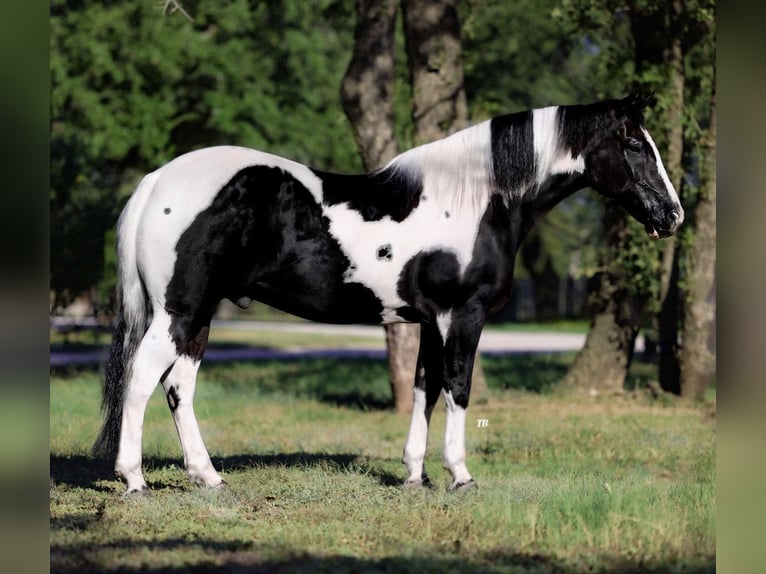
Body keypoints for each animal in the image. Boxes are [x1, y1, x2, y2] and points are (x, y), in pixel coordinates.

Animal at [93, 93, 688, 496]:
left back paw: (208, 477)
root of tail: (157, 180)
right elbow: (458, 388)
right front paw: (460, 475)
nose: (674, 215)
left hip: (197, 317)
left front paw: (414, 475)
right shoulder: (461, 316)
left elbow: (425, 389)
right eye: (635, 144)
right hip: (179, 311)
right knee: (142, 379)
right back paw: (134, 480)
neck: (477, 200)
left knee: (179, 388)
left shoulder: (428, 320)